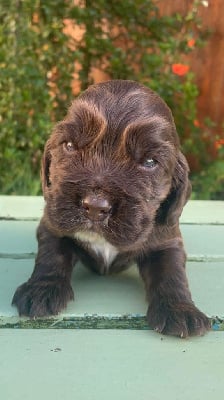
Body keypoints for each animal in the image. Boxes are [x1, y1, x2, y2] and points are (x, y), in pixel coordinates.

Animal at [12, 79, 211, 336]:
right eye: (69, 145)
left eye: (149, 162)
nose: (95, 207)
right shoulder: (52, 223)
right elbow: (52, 254)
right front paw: (41, 289)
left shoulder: (167, 239)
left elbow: (171, 271)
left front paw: (179, 308)